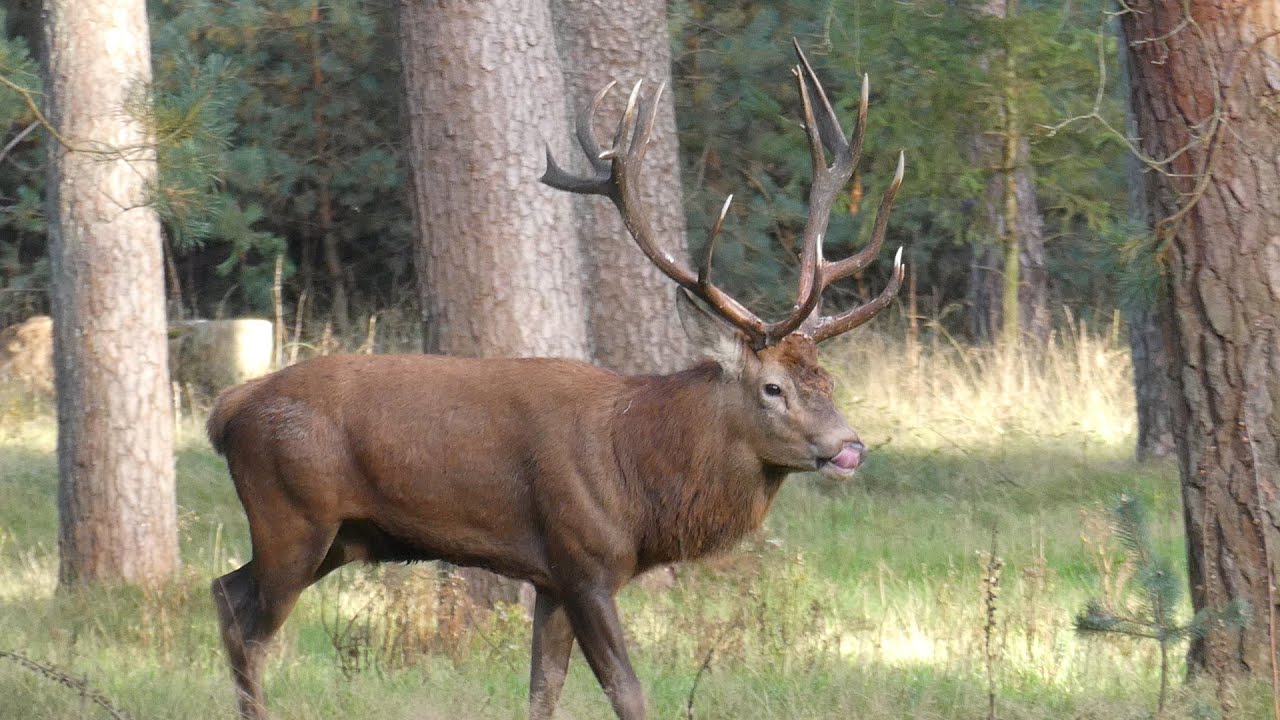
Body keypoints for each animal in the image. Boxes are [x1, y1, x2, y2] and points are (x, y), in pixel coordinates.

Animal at [209, 41, 904, 720]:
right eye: (772, 388)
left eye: (828, 380)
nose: (850, 447)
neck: (640, 481)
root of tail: (227, 411)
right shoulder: (582, 559)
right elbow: (627, 691)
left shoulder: (546, 579)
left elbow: (543, 690)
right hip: (292, 513)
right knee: (248, 622)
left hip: (340, 537)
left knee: (223, 589)